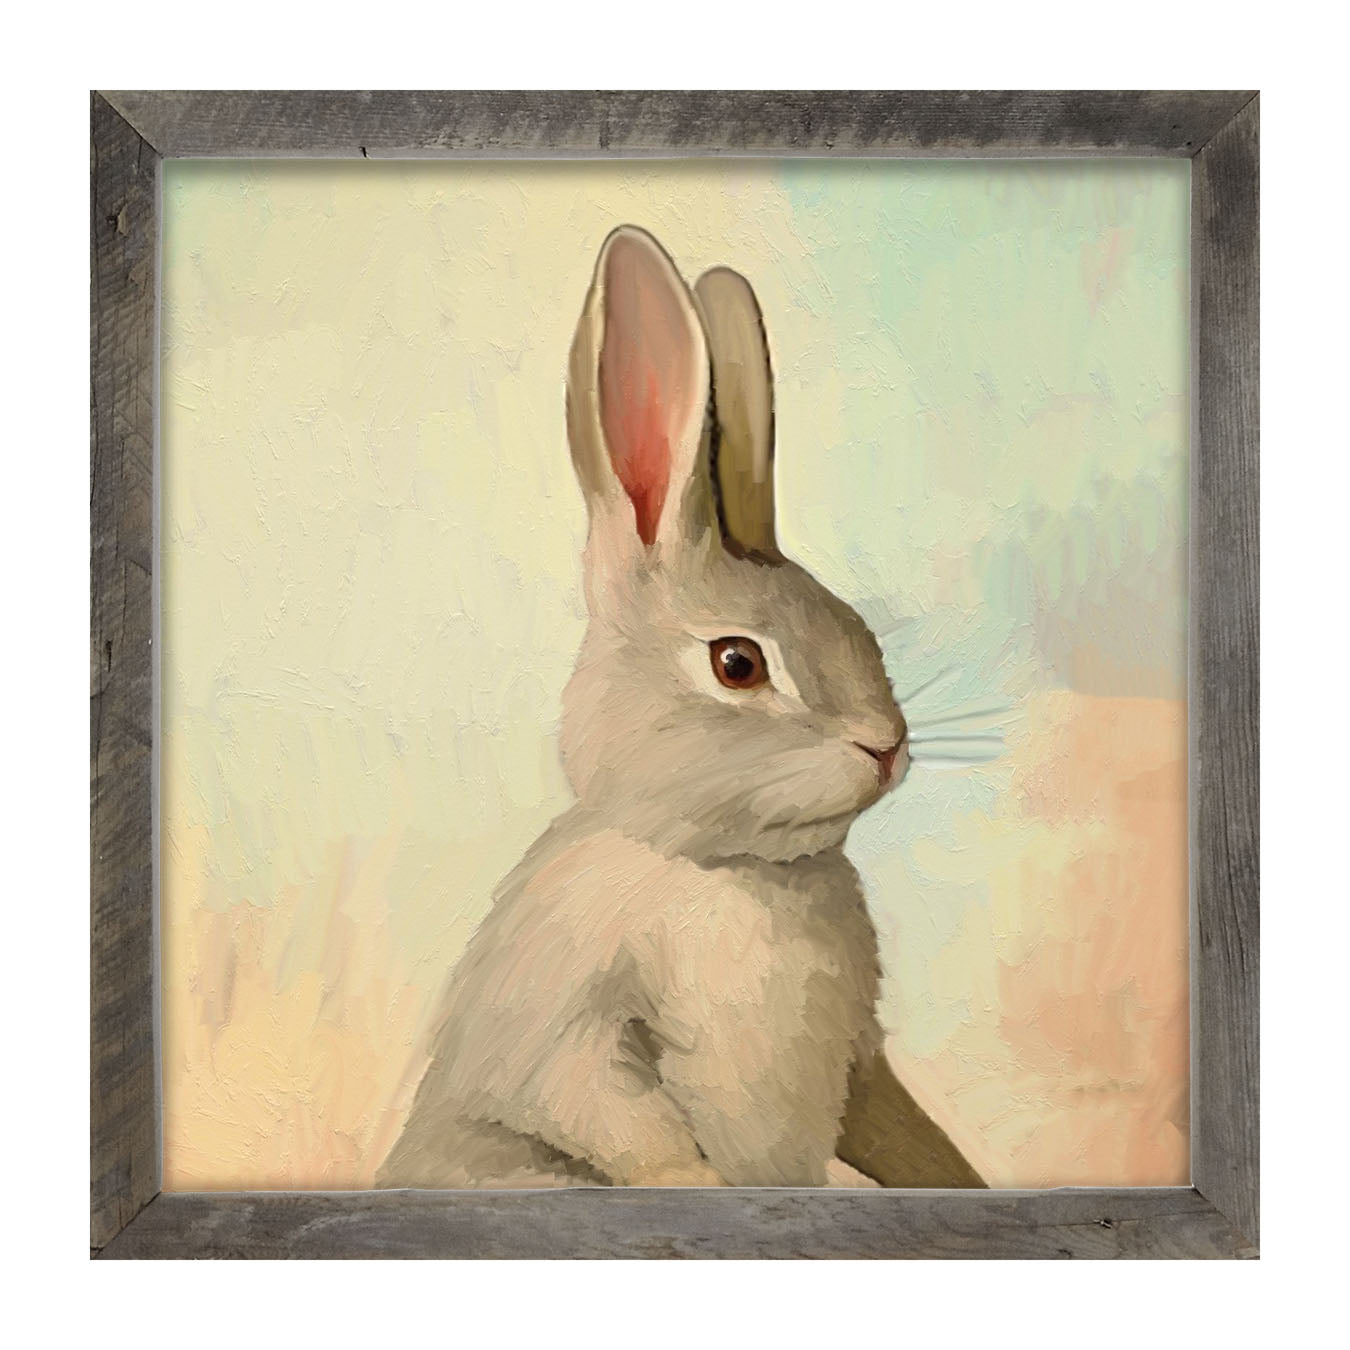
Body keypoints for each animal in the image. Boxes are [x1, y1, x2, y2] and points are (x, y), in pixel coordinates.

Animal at [377, 225, 984, 1190]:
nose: (886, 746)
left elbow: (898, 1128)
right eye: (737, 664)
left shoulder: (863, 1064)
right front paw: (703, 1185)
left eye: (860, 630)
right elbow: (616, 1116)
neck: (734, 871)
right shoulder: (565, 1021)